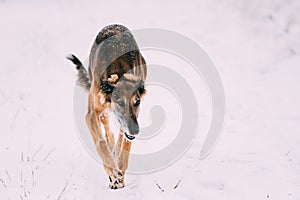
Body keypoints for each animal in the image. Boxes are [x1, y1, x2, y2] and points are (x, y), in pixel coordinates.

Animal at [68, 24, 148, 189]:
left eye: (137, 102)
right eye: (120, 102)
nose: (135, 131)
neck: (117, 71)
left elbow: (125, 143)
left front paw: (120, 173)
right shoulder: (91, 115)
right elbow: (101, 143)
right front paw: (113, 172)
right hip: (103, 113)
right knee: (107, 131)